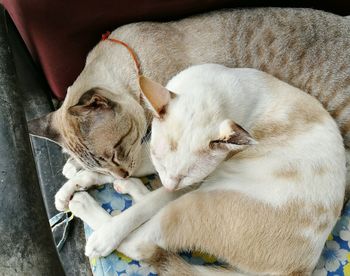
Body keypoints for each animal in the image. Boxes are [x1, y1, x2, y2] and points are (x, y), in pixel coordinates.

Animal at [69, 64, 348, 274]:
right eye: (160, 160)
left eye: (188, 174)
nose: (170, 184)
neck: (216, 92)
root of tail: (300, 269)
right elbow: (137, 161)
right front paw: (82, 174)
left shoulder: (192, 184)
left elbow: (140, 210)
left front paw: (105, 233)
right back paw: (120, 186)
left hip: (195, 202)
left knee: (141, 242)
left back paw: (87, 208)